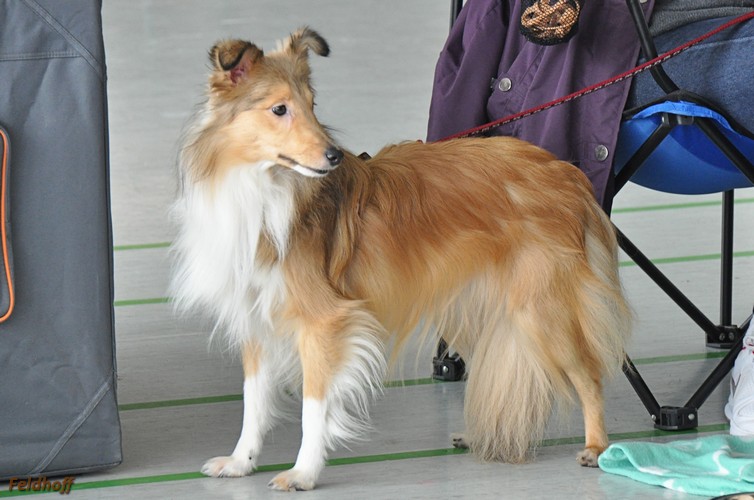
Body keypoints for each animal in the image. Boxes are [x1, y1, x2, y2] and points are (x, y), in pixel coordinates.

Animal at [169, 28, 628, 492]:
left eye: (312, 105)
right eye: (280, 109)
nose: (335, 156)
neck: (264, 187)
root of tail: (566, 173)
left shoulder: (324, 322)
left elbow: (314, 406)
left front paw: (304, 472)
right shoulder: (256, 319)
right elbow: (253, 403)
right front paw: (240, 461)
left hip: (541, 311)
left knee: (589, 375)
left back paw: (595, 447)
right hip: (481, 315)